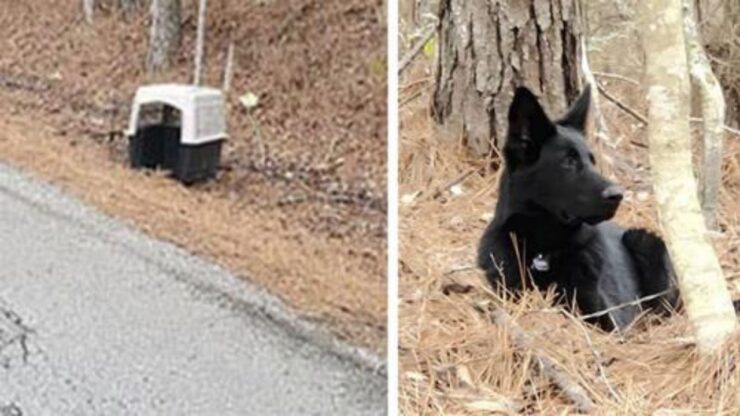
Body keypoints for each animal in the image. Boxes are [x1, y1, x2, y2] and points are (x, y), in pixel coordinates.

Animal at [476, 85, 680, 332]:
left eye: (592, 160)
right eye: (568, 161)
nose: (618, 195)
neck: (543, 252)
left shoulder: (609, 318)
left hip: (643, 240)